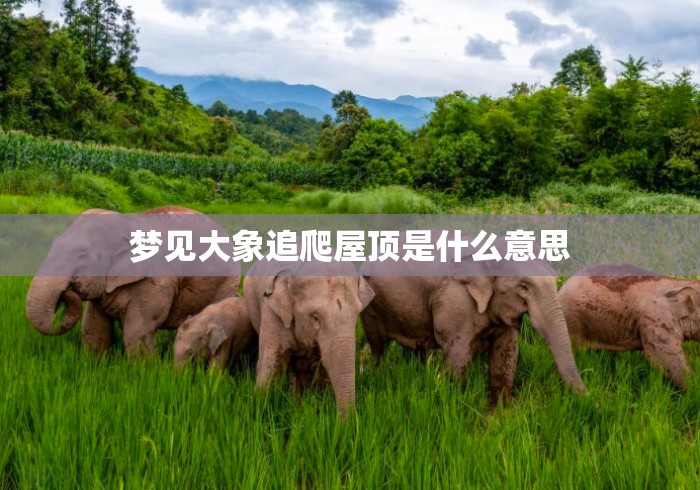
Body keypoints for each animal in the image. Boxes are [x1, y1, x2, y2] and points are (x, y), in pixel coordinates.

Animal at [25, 205, 240, 356]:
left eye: (82, 256)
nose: (66, 291)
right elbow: (94, 328)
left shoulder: (155, 281)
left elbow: (137, 332)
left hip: (225, 283)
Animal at [243, 259, 375, 417]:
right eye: (315, 317)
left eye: (357, 314)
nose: (343, 420)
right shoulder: (272, 312)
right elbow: (269, 365)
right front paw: (259, 410)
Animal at [360, 250, 586, 405]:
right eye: (524, 287)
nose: (589, 398)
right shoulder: (455, 302)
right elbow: (458, 355)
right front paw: (455, 402)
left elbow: (506, 351)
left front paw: (502, 410)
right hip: (370, 305)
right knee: (378, 345)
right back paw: (378, 374)